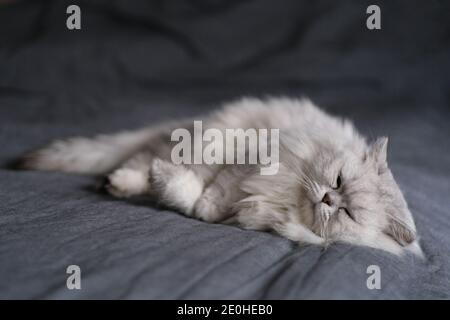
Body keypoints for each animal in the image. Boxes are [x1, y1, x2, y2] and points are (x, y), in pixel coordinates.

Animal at [17, 97, 424, 258]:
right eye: (337, 181)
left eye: (348, 213)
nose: (326, 198)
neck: (287, 198)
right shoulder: (248, 163)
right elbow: (209, 189)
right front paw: (189, 196)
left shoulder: (250, 206)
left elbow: (203, 205)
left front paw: (191, 203)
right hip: (202, 136)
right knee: (142, 161)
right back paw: (121, 182)